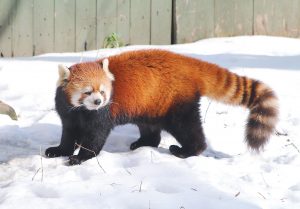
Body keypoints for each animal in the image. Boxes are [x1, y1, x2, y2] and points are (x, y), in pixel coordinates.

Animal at [45, 49, 278, 165]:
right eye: (87, 92)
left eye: (102, 92)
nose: (98, 102)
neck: (83, 111)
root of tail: (188, 62)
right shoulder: (68, 112)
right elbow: (69, 133)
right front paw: (59, 150)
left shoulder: (103, 114)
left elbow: (95, 137)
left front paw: (80, 157)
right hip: (151, 104)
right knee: (150, 128)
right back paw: (144, 143)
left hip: (177, 103)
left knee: (186, 127)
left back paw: (187, 150)